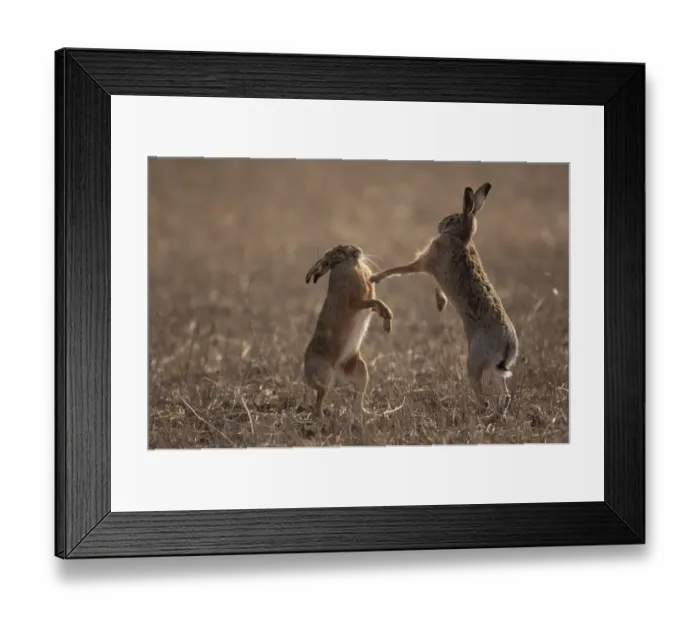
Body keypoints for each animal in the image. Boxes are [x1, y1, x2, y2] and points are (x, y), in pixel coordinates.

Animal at [303, 244, 393, 421]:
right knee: (319, 400)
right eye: (338, 251)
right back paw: (323, 418)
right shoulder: (354, 302)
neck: (349, 263)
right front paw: (387, 316)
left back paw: (366, 416)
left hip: (360, 370)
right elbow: (373, 301)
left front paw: (387, 320)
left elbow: (375, 305)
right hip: (325, 374)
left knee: (357, 400)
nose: (358, 251)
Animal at [369, 182, 518, 411]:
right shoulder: (437, 272)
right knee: (505, 393)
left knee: (480, 390)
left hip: (474, 360)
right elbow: (437, 286)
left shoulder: (426, 261)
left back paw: (481, 409)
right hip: (495, 369)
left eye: (452, 219)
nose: (439, 224)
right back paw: (498, 412)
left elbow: (401, 269)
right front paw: (440, 304)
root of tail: (508, 346)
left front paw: (375, 277)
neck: (460, 237)